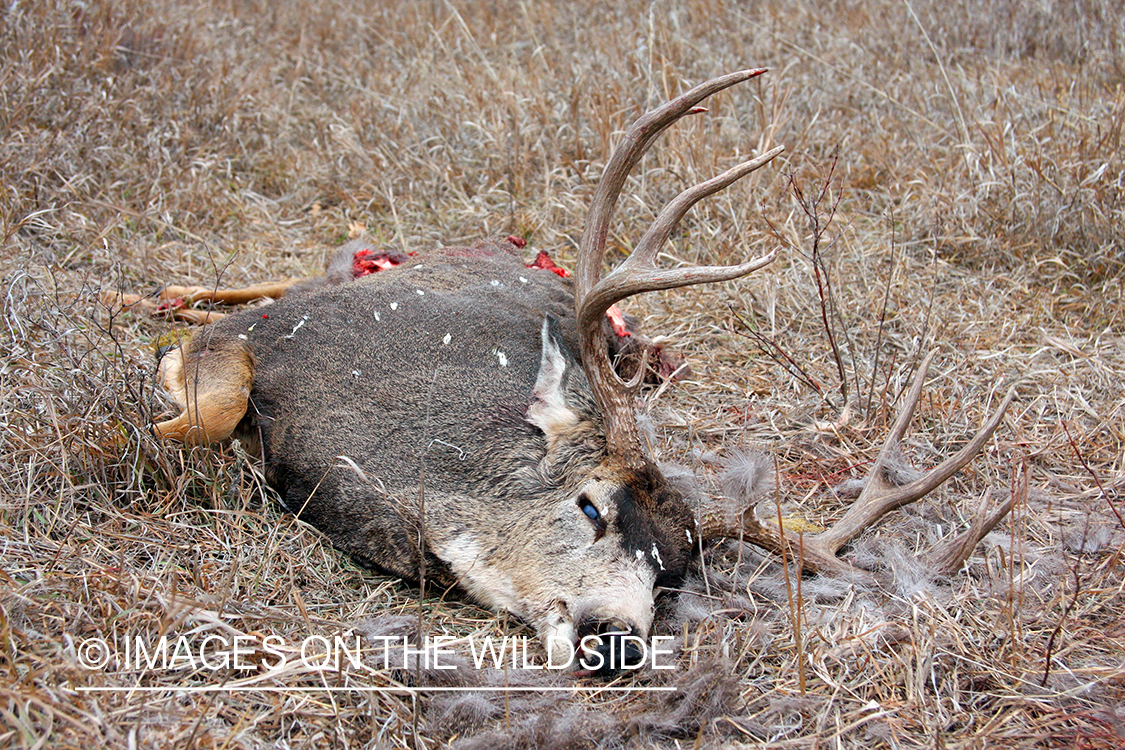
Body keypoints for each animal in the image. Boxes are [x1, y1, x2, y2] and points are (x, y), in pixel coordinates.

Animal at [106, 70, 1016, 674]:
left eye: (672, 577)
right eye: (590, 507)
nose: (615, 642)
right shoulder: (282, 336)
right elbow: (199, 414)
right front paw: (150, 402)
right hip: (338, 281)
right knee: (280, 278)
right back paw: (136, 294)